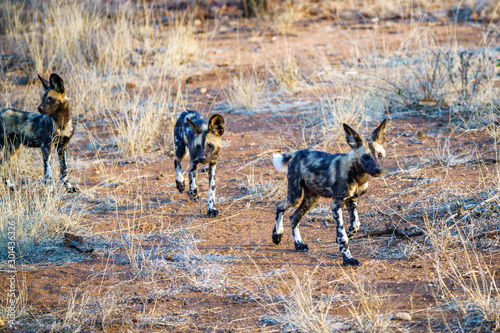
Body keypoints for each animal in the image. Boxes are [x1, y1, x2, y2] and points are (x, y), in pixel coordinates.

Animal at [274, 118, 386, 264]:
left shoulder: (351, 200)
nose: (378, 170)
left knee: (294, 217)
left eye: (380, 155)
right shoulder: (336, 204)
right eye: (366, 156)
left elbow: (355, 225)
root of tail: (297, 152)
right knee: (279, 205)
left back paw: (298, 244)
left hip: (311, 198)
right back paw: (277, 235)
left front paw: (347, 235)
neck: (358, 175)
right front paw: (348, 258)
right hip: (295, 196)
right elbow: (342, 236)